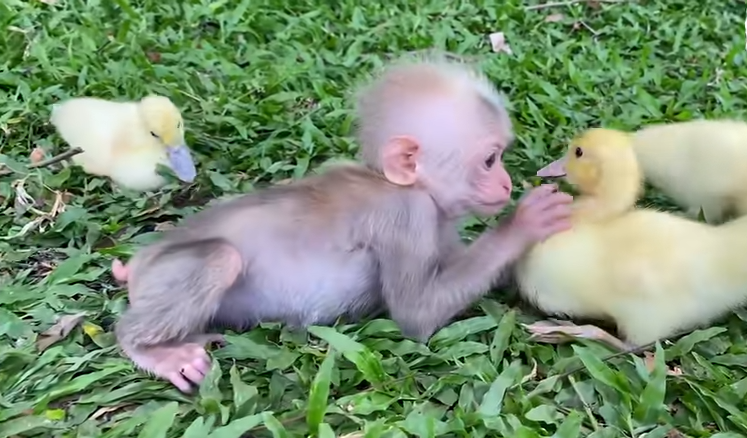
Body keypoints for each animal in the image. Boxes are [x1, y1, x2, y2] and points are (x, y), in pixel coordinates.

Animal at [112, 53, 574, 393]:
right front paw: (523, 224)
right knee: (220, 259)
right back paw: (147, 349)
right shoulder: (408, 216)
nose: (506, 182)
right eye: (490, 160)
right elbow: (415, 314)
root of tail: (140, 262)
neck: (401, 184)